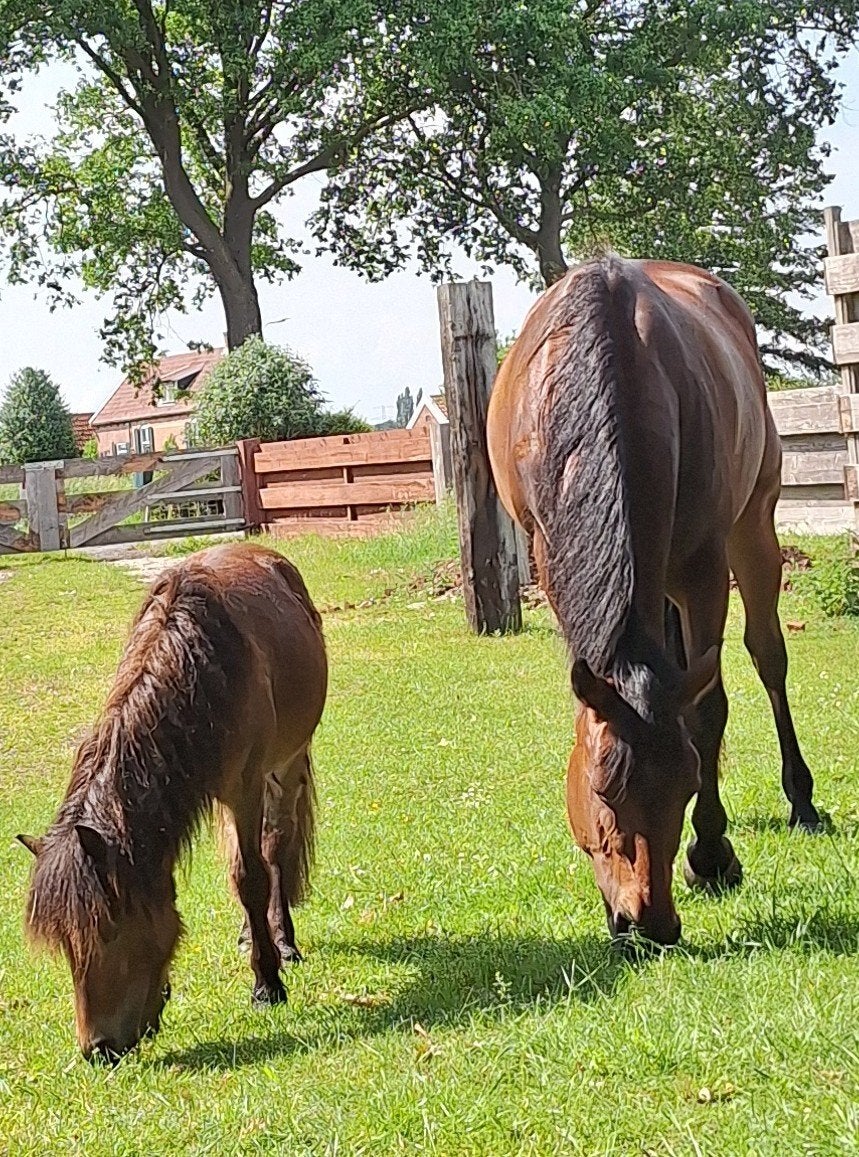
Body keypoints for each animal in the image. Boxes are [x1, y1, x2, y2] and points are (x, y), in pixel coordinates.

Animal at [17, 543, 327, 1061]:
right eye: (64, 943)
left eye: (108, 930)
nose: (97, 1049)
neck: (200, 667)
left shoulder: (244, 789)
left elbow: (251, 876)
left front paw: (267, 984)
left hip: (285, 764)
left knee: (276, 847)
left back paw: (282, 940)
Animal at [486, 255, 821, 946]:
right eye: (599, 790)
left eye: (688, 785)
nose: (650, 923)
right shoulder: (550, 561)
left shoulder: (702, 567)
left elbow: (709, 709)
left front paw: (712, 855)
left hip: (754, 526)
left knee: (768, 657)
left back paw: (801, 801)